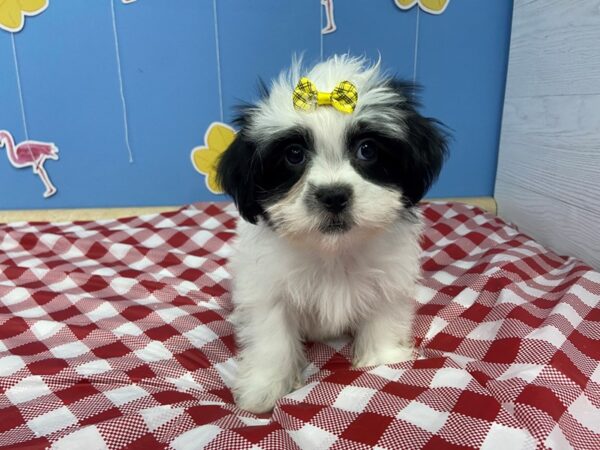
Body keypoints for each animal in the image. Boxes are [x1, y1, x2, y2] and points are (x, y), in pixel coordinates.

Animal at [216, 54, 446, 414]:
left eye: (367, 150)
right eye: (294, 154)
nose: (333, 195)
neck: (333, 251)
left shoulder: (389, 279)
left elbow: (383, 317)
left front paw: (381, 362)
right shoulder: (267, 288)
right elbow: (272, 334)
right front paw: (265, 387)